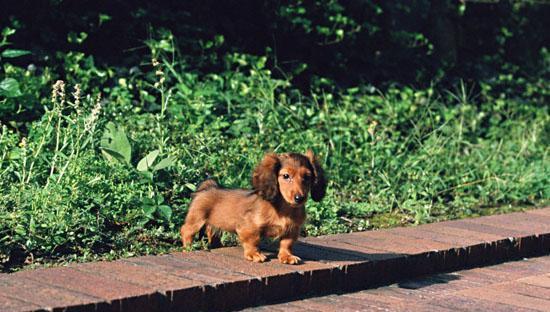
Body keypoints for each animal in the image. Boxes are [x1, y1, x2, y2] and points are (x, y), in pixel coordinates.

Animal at [181, 150, 328, 264]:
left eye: (307, 177)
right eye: (286, 176)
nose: (299, 198)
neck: (284, 209)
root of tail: (208, 187)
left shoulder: (292, 230)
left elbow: (286, 244)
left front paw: (286, 256)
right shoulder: (249, 227)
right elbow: (253, 241)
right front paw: (254, 254)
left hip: (214, 226)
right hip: (196, 219)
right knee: (186, 231)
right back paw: (188, 248)